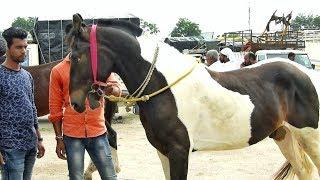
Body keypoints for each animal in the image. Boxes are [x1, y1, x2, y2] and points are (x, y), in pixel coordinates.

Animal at [66, 13, 320, 179]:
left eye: (76, 56)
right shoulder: (163, 151)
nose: (75, 103)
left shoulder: (179, 151)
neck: (164, 86)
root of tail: (307, 73)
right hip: (284, 135)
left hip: (311, 137)